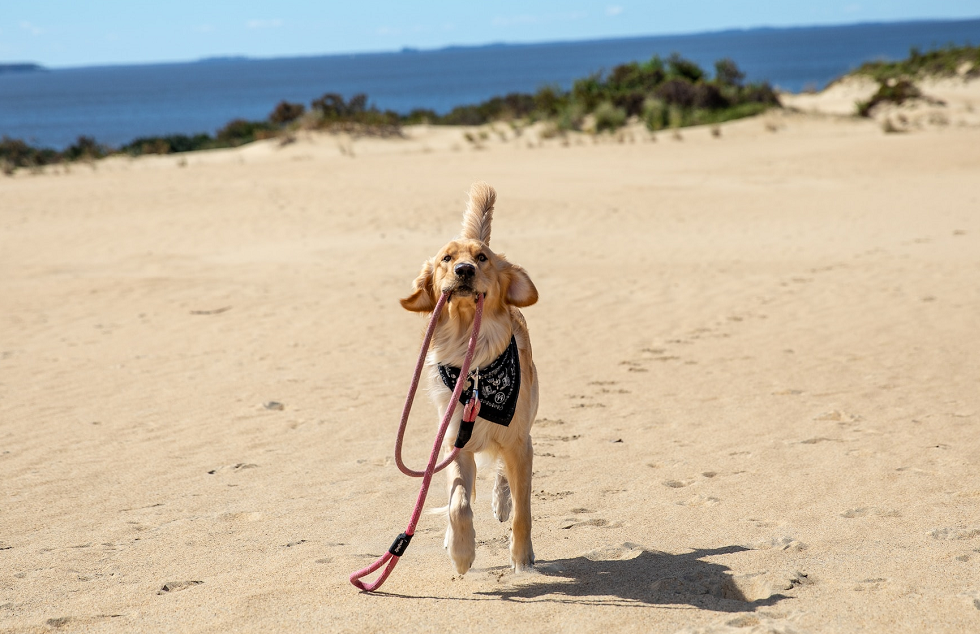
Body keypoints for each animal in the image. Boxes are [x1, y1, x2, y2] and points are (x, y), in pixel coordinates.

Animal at [398, 183, 536, 572]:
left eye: (483, 258)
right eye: (446, 258)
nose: (463, 269)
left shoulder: (520, 442)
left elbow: (523, 512)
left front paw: (522, 559)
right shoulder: (455, 442)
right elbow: (458, 503)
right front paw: (462, 552)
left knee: (505, 477)